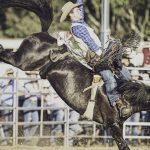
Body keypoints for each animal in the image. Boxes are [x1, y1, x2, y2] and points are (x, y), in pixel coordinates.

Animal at [0, 0, 149, 149]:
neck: (125, 97)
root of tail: (43, 34)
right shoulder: (111, 124)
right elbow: (124, 145)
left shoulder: (118, 124)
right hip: (22, 61)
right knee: (8, 56)